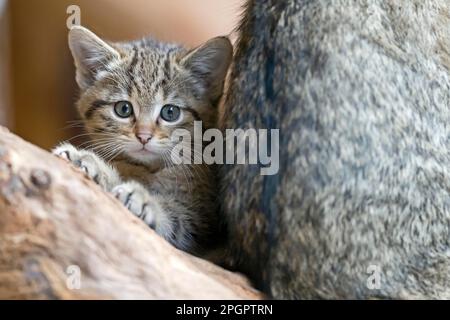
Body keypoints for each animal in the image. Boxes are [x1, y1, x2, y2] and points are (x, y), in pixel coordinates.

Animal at [53, 25, 232, 256]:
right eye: (123, 109)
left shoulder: (202, 219)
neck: (148, 169)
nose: (144, 136)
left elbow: (177, 219)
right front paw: (88, 162)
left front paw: (144, 201)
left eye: (170, 112)